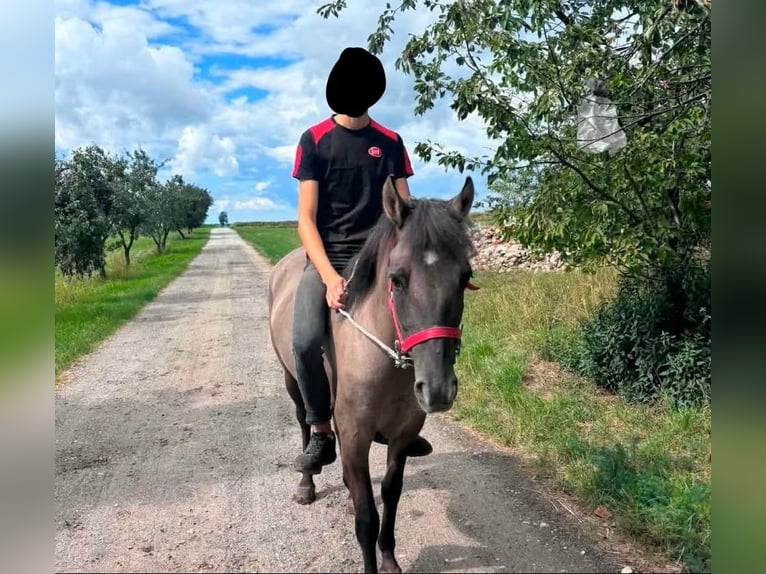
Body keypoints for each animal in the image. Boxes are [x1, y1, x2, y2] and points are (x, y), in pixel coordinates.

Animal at [267, 175, 477, 573]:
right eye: (397, 279)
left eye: (465, 277)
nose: (438, 390)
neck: (385, 366)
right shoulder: (354, 436)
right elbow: (366, 518)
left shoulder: (401, 437)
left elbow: (390, 496)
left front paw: (390, 559)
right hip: (292, 379)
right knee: (305, 421)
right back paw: (306, 480)